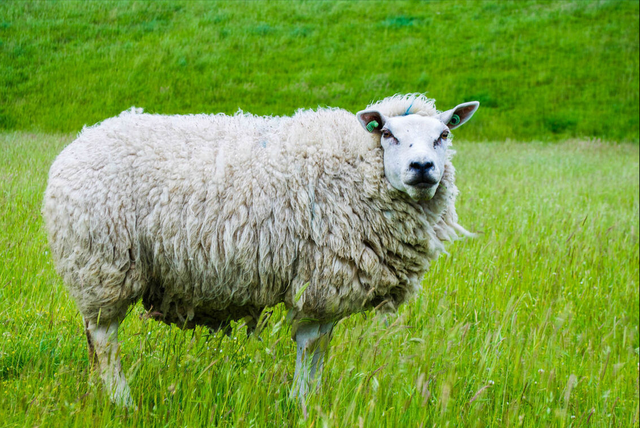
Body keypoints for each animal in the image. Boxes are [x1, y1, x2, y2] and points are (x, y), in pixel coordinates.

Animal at [42, 93, 478, 404]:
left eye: (444, 135)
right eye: (388, 134)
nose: (422, 168)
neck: (356, 167)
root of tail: (79, 142)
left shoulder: (327, 286)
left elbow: (320, 351)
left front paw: (309, 401)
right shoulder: (319, 281)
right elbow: (311, 346)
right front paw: (301, 403)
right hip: (102, 264)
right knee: (104, 338)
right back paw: (122, 402)